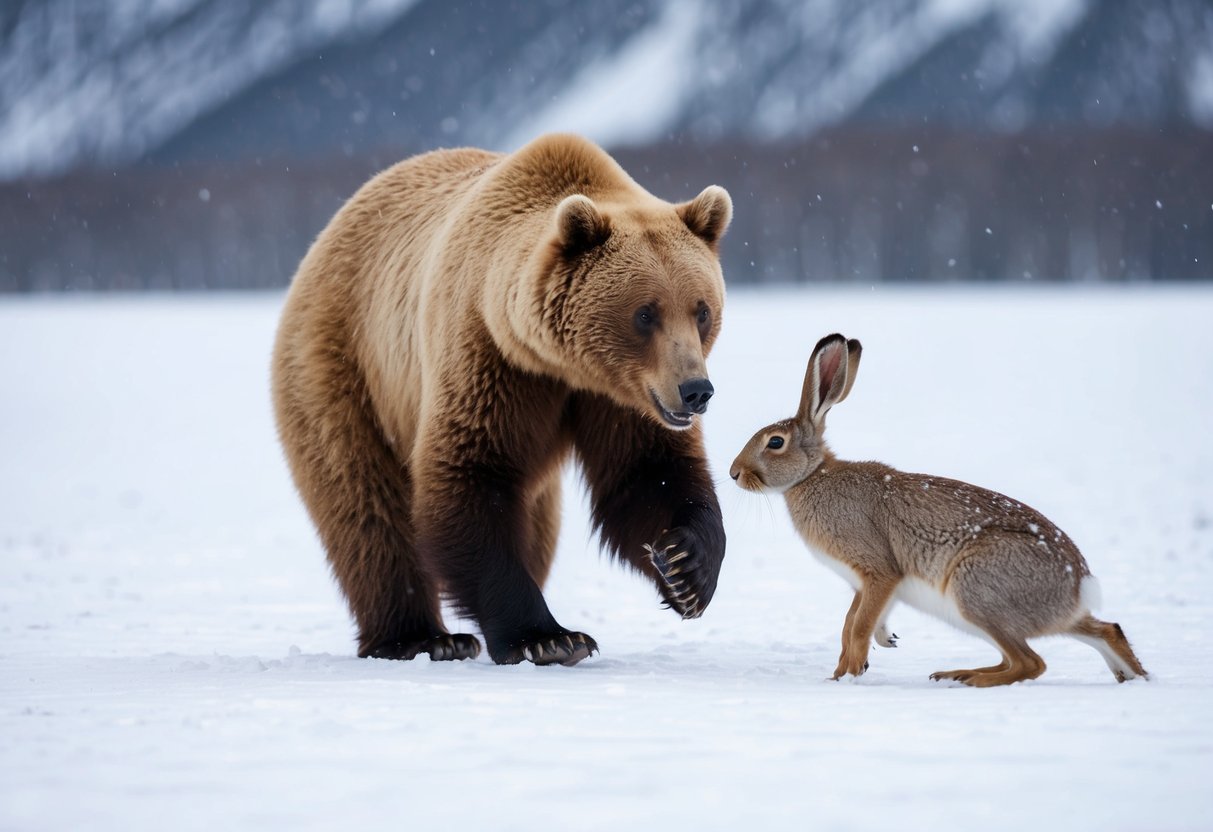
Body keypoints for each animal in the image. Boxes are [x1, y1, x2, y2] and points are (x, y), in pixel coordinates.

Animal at [271, 133, 732, 665]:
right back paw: (420, 637)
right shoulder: (490, 360)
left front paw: (686, 568)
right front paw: (549, 637)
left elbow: (647, 474)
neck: (559, 364)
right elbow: (470, 476)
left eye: (701, 310)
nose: (695, 390)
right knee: (366, 508)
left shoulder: (619, 397)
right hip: (344, 368)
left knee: (537, 525)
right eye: (645, 314)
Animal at [729, 333, 1148, 687]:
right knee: (1100, 632)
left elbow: (858, 627)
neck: (811, 476)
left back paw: (971, 679)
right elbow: (850, 623)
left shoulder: (878, 572)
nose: (734, 473)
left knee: (1031, 663)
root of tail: (1080, 587)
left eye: (775, 442)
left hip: (975, 591)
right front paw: (854, 663)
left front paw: (848, 675)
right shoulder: (864, 585)